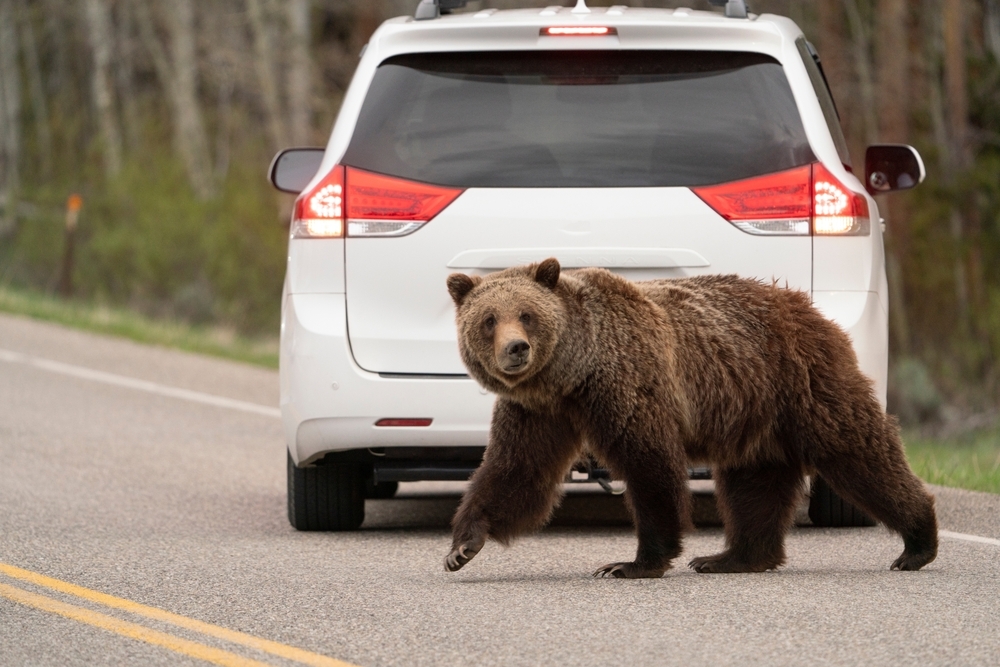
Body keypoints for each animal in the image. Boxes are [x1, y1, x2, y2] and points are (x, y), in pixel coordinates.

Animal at [446, 260, 936, 580]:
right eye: (489, 319)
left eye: (526, 314)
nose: (516, 349)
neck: (572, 373)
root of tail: (806, 306)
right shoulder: (539, 410)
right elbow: (517, 470)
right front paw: (462, 546)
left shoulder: (627, 382)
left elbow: (649, 466)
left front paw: (631, 563)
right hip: (755, 414)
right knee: (753, 485)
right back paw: (732, 558)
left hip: (803, 382)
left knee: (858, 450)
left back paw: (917, 543)